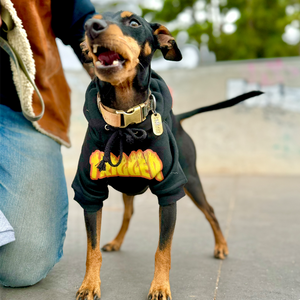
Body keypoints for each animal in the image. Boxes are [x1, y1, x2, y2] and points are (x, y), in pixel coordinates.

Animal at [73, 10, 262, 298]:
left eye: (134, 22)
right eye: (91, 20)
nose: (92, 27)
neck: (125, 119)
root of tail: (179, 119)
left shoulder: (170, 191)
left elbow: (163, 251)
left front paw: (160, 286)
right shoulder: (90, 192)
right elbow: (91, 249)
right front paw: (89, 284)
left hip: (191, 181)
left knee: (210, 210)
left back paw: (221, 246)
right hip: (130, 188)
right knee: (128, 214)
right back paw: (116, 242)